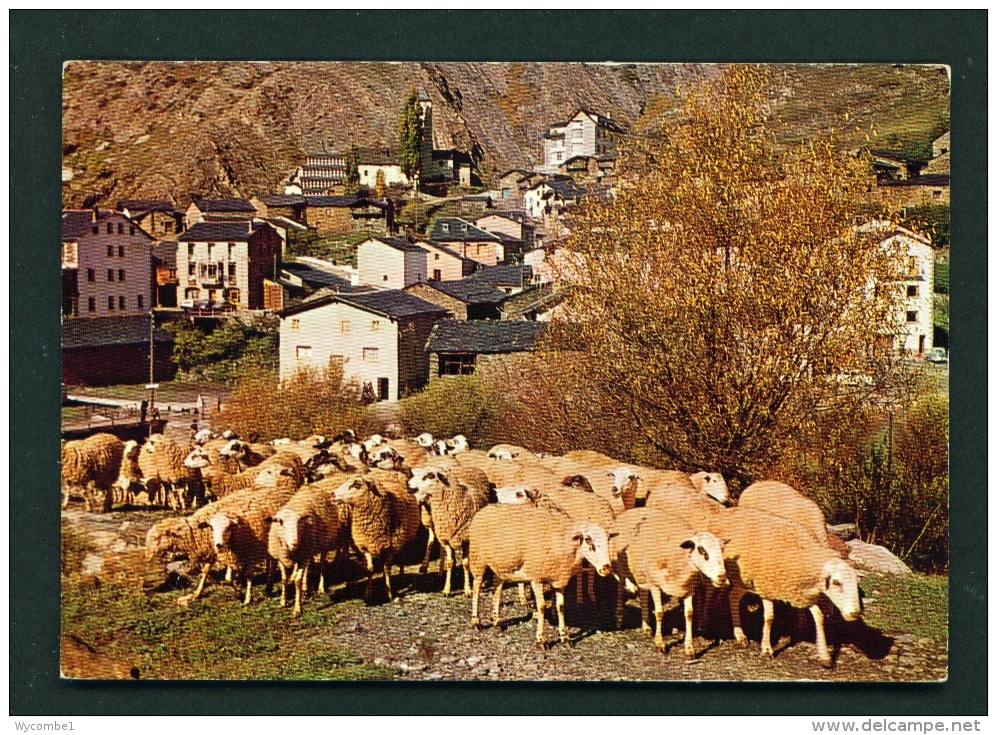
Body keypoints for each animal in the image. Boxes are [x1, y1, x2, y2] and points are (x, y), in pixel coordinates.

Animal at [466, 504, 616, 648]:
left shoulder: (559, 579)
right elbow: (542, 606)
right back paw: (476, 622)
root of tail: (485, 509)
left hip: (501, 566)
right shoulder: (536, 578)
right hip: (477, 557)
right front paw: (541, 640)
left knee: (496, 588)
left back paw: (496, 622)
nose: (606, 568)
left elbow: (561, 607)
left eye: (608, 540)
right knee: (476, 587)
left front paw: (565, 638)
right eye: (588, 540)